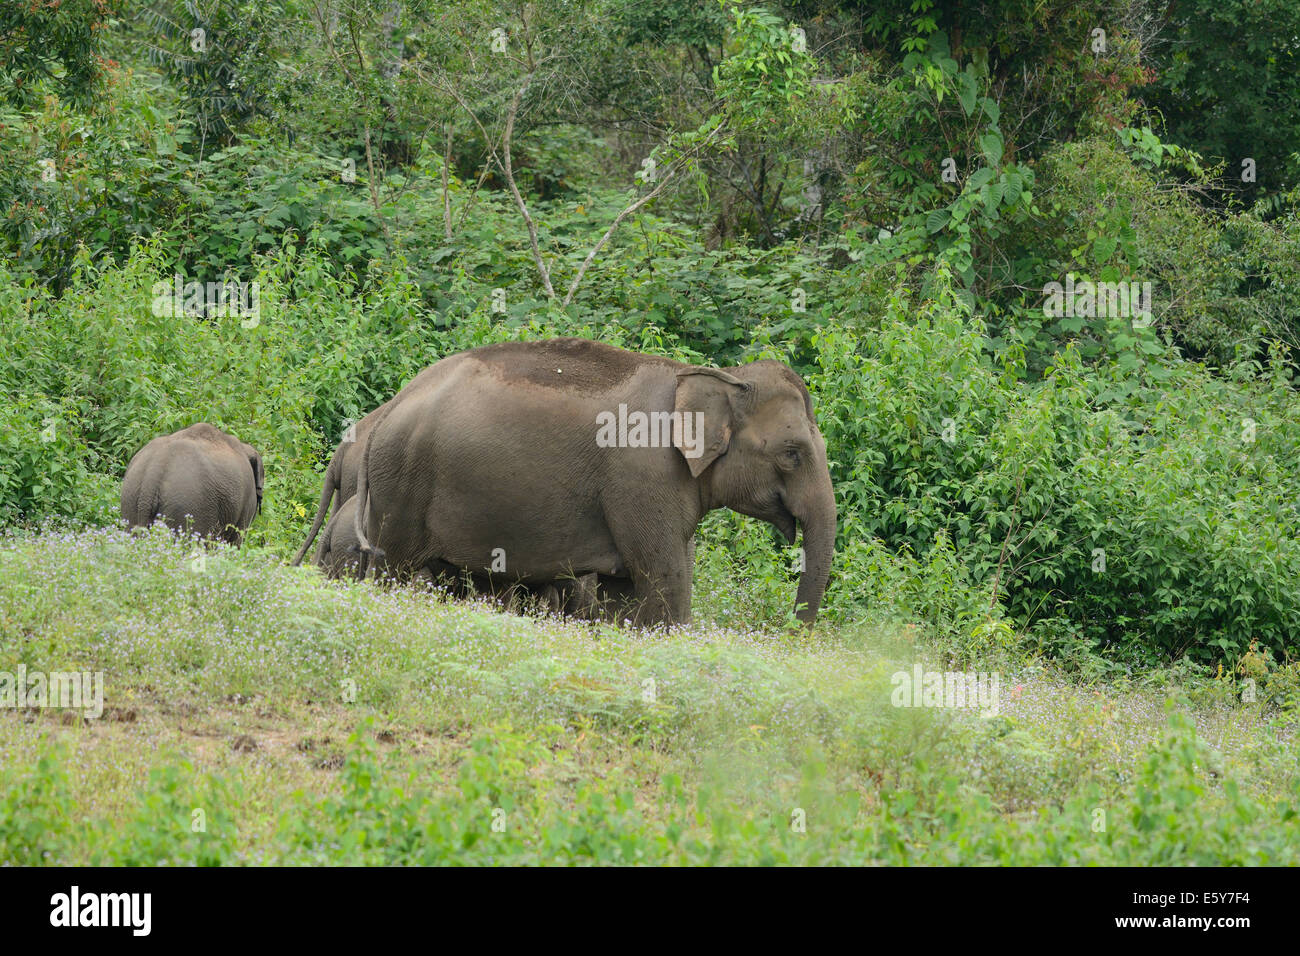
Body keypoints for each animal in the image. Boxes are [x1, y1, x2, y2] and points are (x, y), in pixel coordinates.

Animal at [352, 338, 836, 626]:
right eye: (792, 453)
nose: (791, 633)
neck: (720, 376)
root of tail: (391, 406)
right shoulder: (644, 478)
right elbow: (665, 577)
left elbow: (624, 595)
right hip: (402, 487)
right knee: (390, 571)